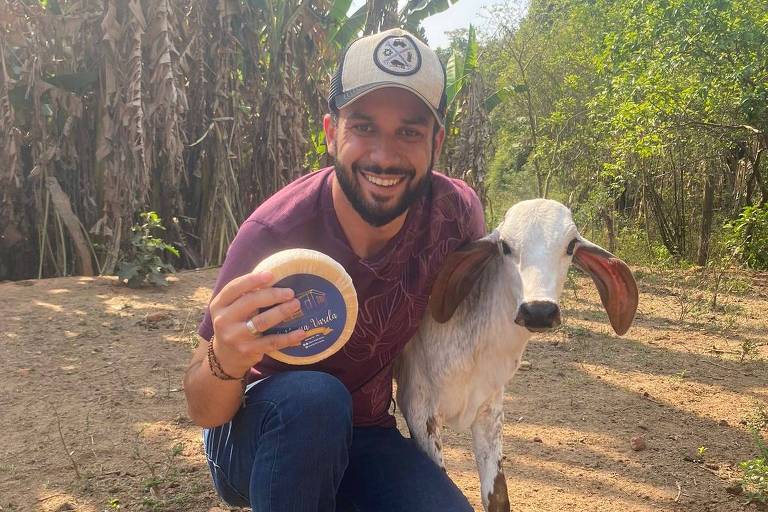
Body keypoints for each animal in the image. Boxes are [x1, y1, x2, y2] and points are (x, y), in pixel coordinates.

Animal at [392, 198, 640, 510]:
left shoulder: (489, 411)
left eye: (571, 245)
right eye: (505, 246)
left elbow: (498, 496)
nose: (539, 311)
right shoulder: (418, 409)